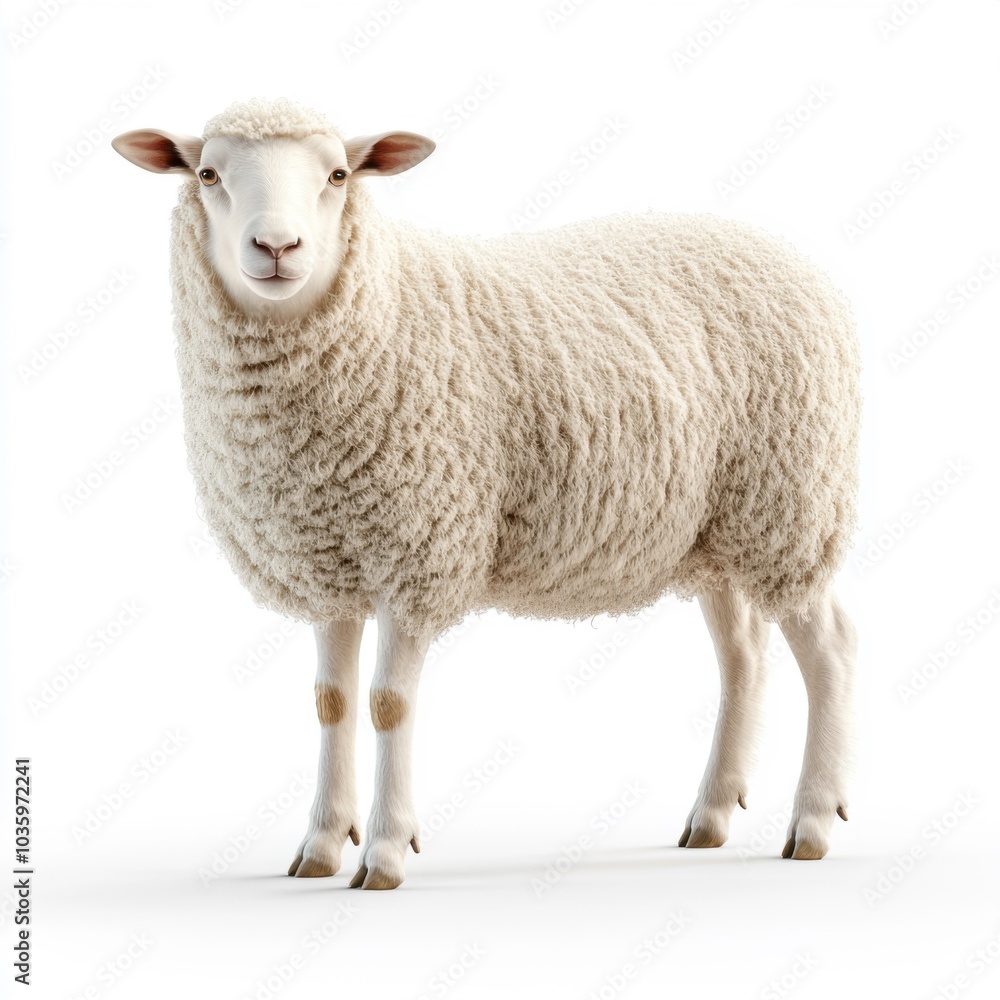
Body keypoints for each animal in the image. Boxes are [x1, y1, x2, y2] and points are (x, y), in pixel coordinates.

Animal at [112, 98, 860, 891]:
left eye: (339, 175)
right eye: (208, 174)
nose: (277, 246)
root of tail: (787, 255)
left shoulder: (422, 551)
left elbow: (387, 704)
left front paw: (384, 852)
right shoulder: (327, 560)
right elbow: (331, 702)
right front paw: (319, 846)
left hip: (793, 505)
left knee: (831, 651)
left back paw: (812, 823)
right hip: (719, 530)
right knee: (742, 656)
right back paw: (711, 817)